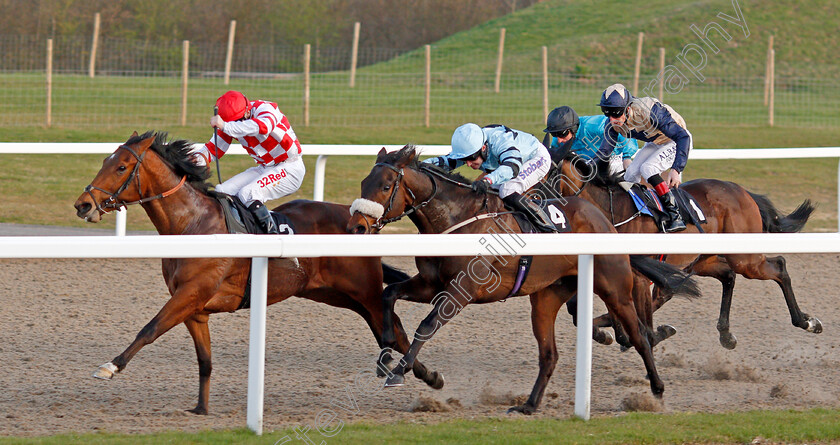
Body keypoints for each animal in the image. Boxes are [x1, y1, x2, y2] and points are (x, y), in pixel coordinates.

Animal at [73, 131, 442, 412]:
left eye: (121, 166)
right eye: (104, 162)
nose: (83, 204)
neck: (193, 225)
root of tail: (361, 222)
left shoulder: (190, 293)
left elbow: (149, 329)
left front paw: (110, 366)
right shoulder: (194, 308)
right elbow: (204, 360)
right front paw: (201, 408)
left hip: (364, 290)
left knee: (394, 329)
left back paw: (411, 374)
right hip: (338, 295)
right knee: (390, 331)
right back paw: (427, 376)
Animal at [344, 145, 700, 412]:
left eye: (386, 186)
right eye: (362, 183)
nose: (356, 227)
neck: (457, 219)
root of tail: (605, 222)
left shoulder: (462, 290)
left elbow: (427, 326)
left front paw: (398, 372)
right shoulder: (431, 284)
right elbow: (389, 294)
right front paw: (386, 355)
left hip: (614, 287)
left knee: (640, 335)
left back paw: (656, 389)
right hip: (547, 296)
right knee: (550, 353)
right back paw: (529, 405)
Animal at [544, 144, 820, 348]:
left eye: (546, 178)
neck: (612, 210)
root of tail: (743, 192)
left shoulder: (640, 276)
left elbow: (647, 330)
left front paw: (651, 332)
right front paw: (614, 334)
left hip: (744, 257)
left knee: (778, 266)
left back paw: (806, 322)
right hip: (703, 259)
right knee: (727, 276)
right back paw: (726, 334)